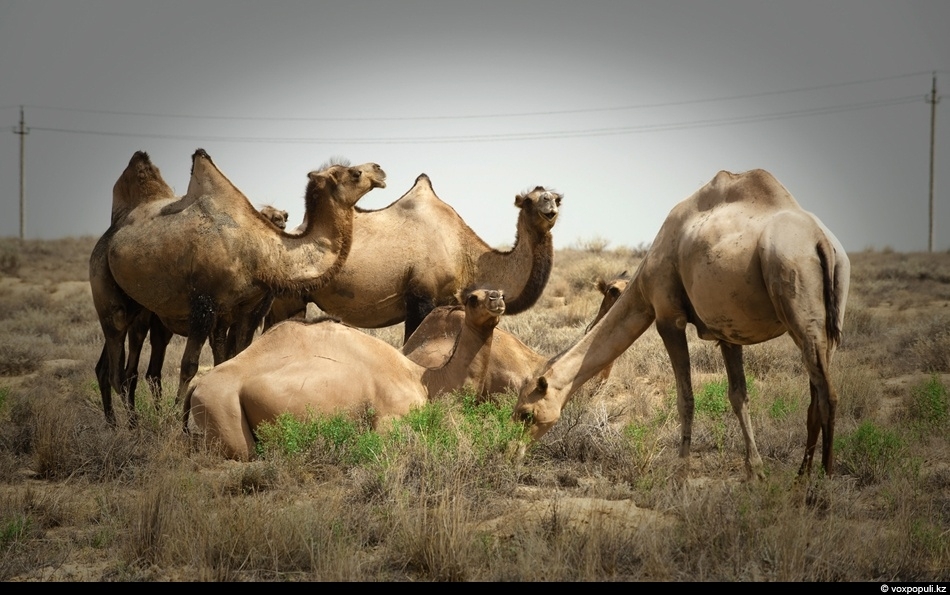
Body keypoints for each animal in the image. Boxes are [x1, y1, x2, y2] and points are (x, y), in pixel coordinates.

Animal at [185, 288, 506, 460]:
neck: (424, 379)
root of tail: (196, 388)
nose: (496, 298)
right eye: (472, 298)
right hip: (222, 408)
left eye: (501, 292)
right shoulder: (390, 418)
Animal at [268, 172, 560, 340]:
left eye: (558, 198)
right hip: (289, 299)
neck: (466, 255)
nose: (550, 206)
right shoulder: (421, 297)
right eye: (530, 200)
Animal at [516, 168, 852, 480]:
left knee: (829, 395)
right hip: (826, 322)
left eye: (525, 414)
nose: (513, 451)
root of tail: (821, 242)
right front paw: (755, 472)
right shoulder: (727, 330)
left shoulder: (668, 317)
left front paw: (681, 474)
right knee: (816, 394)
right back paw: (801, 476)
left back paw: (822, 482)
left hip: (796, 292)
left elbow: (685, 398)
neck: (643, 282)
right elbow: (738, 396)